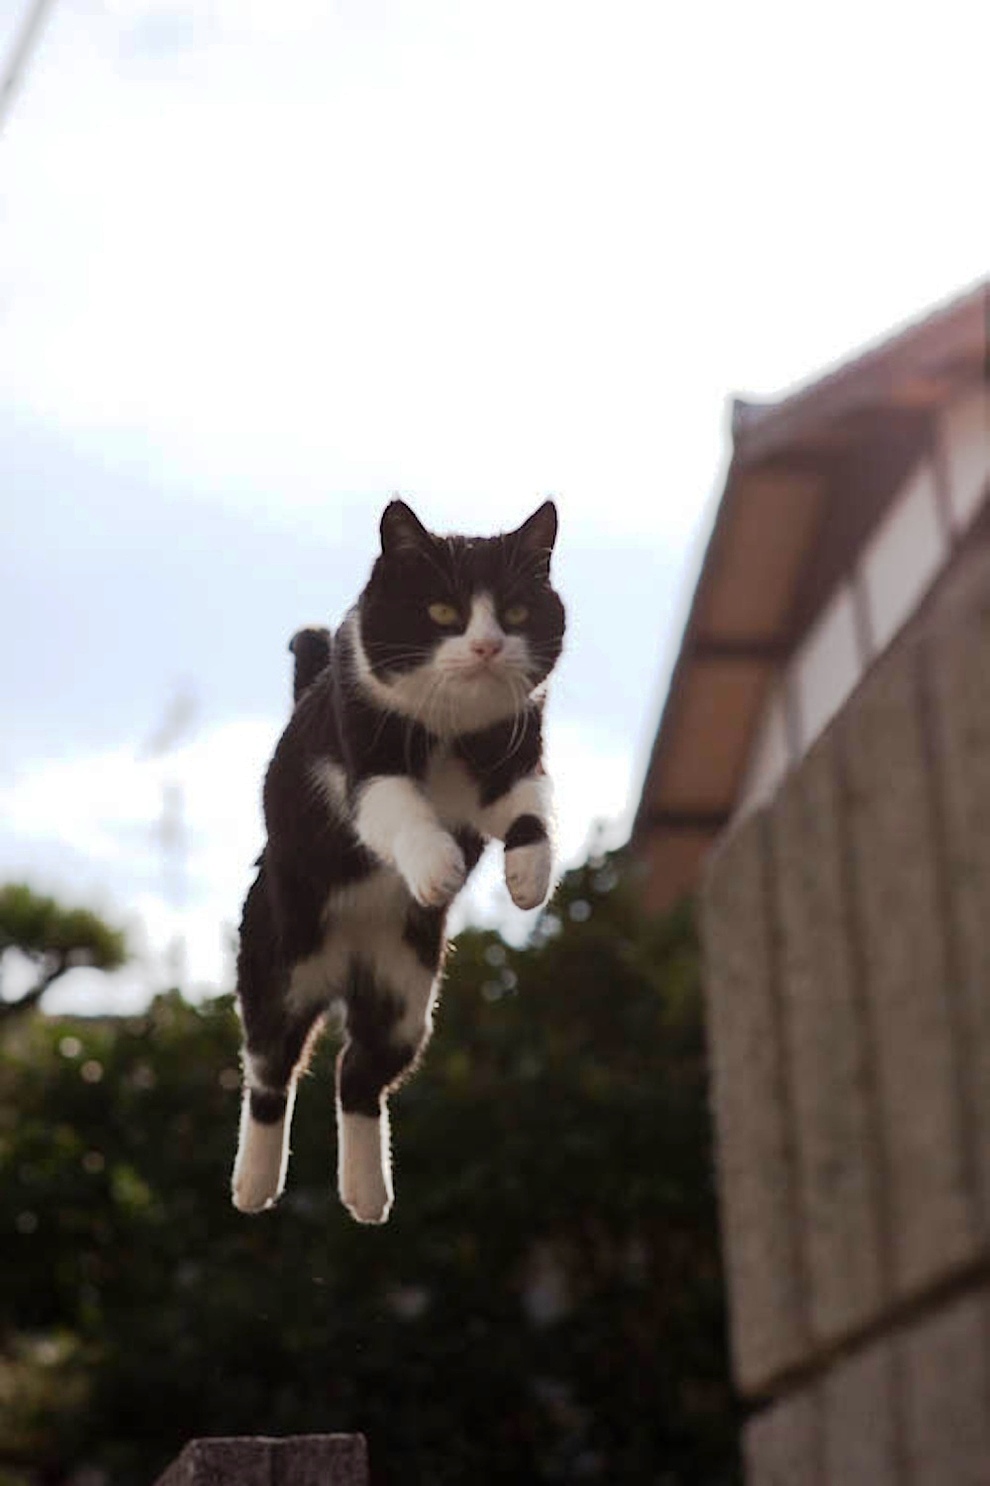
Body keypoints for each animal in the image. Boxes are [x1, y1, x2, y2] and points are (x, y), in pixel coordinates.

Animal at [231, 496, 567, 1218]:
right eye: (442, 611)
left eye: (516, 613)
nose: (487, 645)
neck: (449, 728)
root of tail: (343, 972)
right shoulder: (365, 764)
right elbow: (402, 810)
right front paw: (438, 867)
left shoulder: (513, 757)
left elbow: (530, 807)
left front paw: (528, 878)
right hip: (278, 970)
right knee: (271, 1069)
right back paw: (253, 1185)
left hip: (406, 995)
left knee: (357, 1075)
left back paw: (366, 1194)